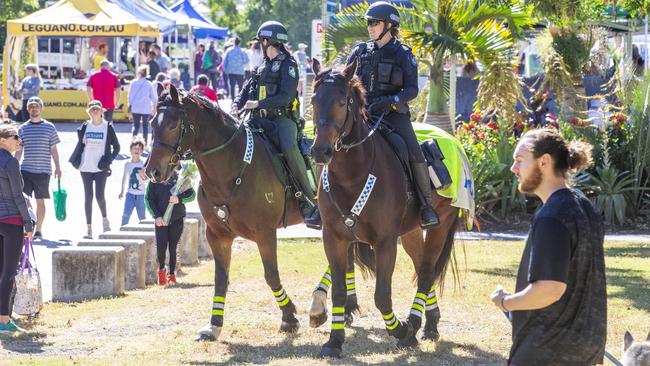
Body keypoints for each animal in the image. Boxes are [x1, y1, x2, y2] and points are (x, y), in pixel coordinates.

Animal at [144, 84, 302, 342]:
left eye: (173, 125)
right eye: (151, 123)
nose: (152, 171)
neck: (234, 167)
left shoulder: (265, 233)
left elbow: (271, 275)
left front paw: (289, 317)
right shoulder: (217, 235)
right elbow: (220, 279)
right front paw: (214, 325)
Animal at [308, 60, 460, 358]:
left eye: (342, 101)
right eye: (313, 100)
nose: (321, 151)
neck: (353, 173)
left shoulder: (385, 242)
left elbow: (382, 296)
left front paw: (401, 329)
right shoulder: (334, 237)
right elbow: (339, 290)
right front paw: (334, 341)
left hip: (442, 223)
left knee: (426, 273)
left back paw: (415, 325)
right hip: (410, 232)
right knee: (421, 266)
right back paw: (430, 323)